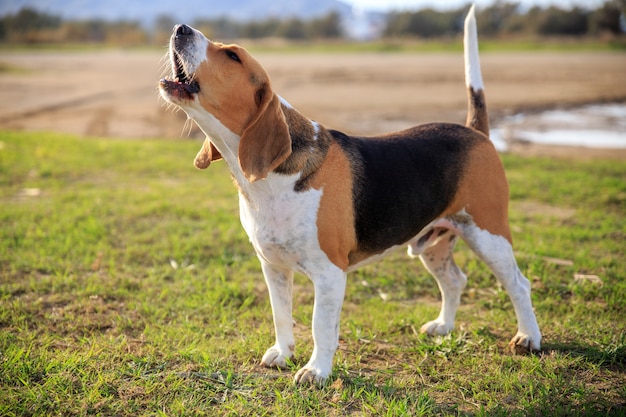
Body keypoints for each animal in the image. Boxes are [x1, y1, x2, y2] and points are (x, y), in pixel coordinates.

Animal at [160, 5, 540, 384]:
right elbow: (281, 314)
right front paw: (283, 354)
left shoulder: (329, 274)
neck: (270, 182)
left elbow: (321, 326)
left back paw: (528, 338)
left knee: (519, 284)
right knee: (455, 281)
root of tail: (475, 132)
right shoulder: (273, 266)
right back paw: (444, 326)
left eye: (232, 56)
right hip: (433, 243)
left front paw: (316, 371)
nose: (180, 28)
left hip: (488, 235)